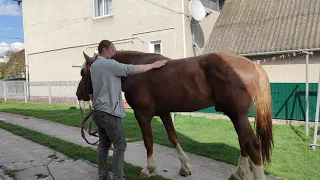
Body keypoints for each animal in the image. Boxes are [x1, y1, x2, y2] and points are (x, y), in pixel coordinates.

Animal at [76, 50, 274, 180]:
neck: (136, 68)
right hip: (236, 116)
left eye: (83, 72)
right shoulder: (164, 112)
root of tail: (252, 65)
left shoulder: (143, 115)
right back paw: (239, 173)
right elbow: (173, 137)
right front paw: (185, 166)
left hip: (238, 116)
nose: (79, 94)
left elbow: (149, 141)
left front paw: (149, 170)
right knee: (243, 142)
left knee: (252, 144)